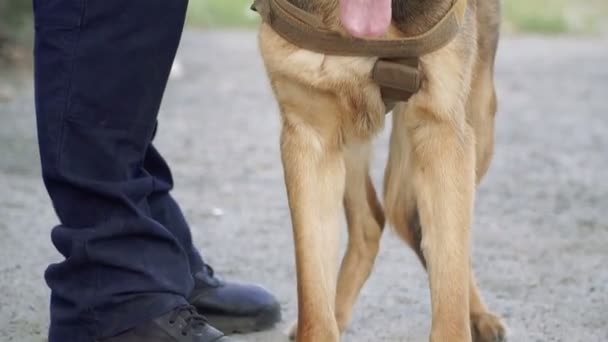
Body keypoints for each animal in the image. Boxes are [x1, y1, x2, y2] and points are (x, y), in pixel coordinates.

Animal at [255, 0, 504, 342]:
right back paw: (339, 312)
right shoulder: (311, 135)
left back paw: (478, 314)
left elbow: (450, 279)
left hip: (479, 117)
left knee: (414, 223)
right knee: (373, 220)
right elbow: (314, 291)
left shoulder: (442, 131)